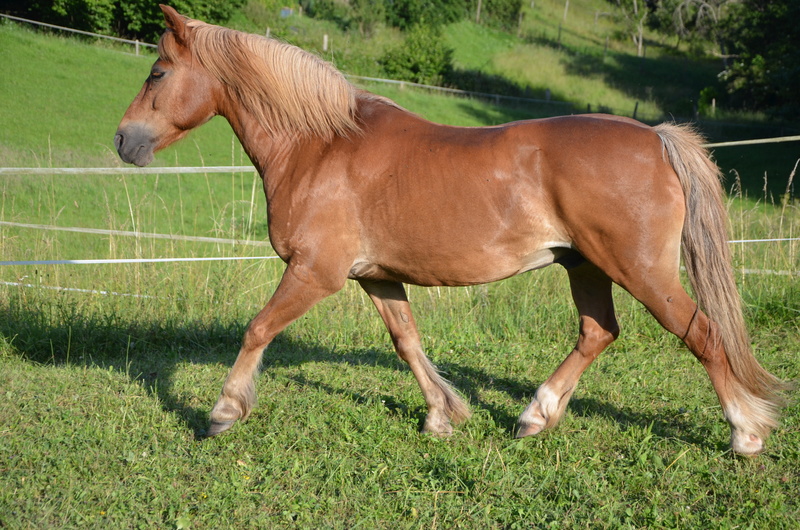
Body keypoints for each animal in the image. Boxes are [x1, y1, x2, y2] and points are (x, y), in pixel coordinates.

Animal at [115, 4, 784, 452]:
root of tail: (655, 139)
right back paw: (534, 416)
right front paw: (441, 416)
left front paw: (223, 412)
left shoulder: (314, 272)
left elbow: (257, 329)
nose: (124, 141)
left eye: (156, 72)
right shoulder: (376, 277)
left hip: (640, 269)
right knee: (598, 333)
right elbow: (407, 342)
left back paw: (745, 435)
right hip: (587, 265)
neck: (321, 145)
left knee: (703, 334)